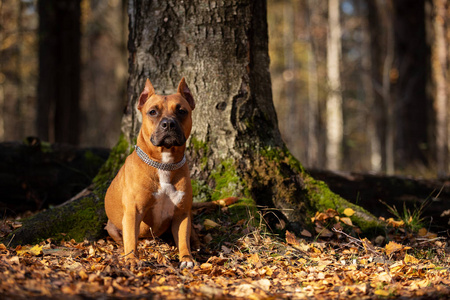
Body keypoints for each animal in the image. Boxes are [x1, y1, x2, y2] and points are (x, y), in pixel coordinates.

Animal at [105, 77, 197, 270]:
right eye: (153, 112)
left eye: (182, 111)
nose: (168, 123)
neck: (164, 164)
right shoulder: (134, 212)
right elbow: (131, 239)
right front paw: (132, 259)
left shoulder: (182, 214)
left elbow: (183, 240)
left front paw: (186, 258)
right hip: (112, 227)